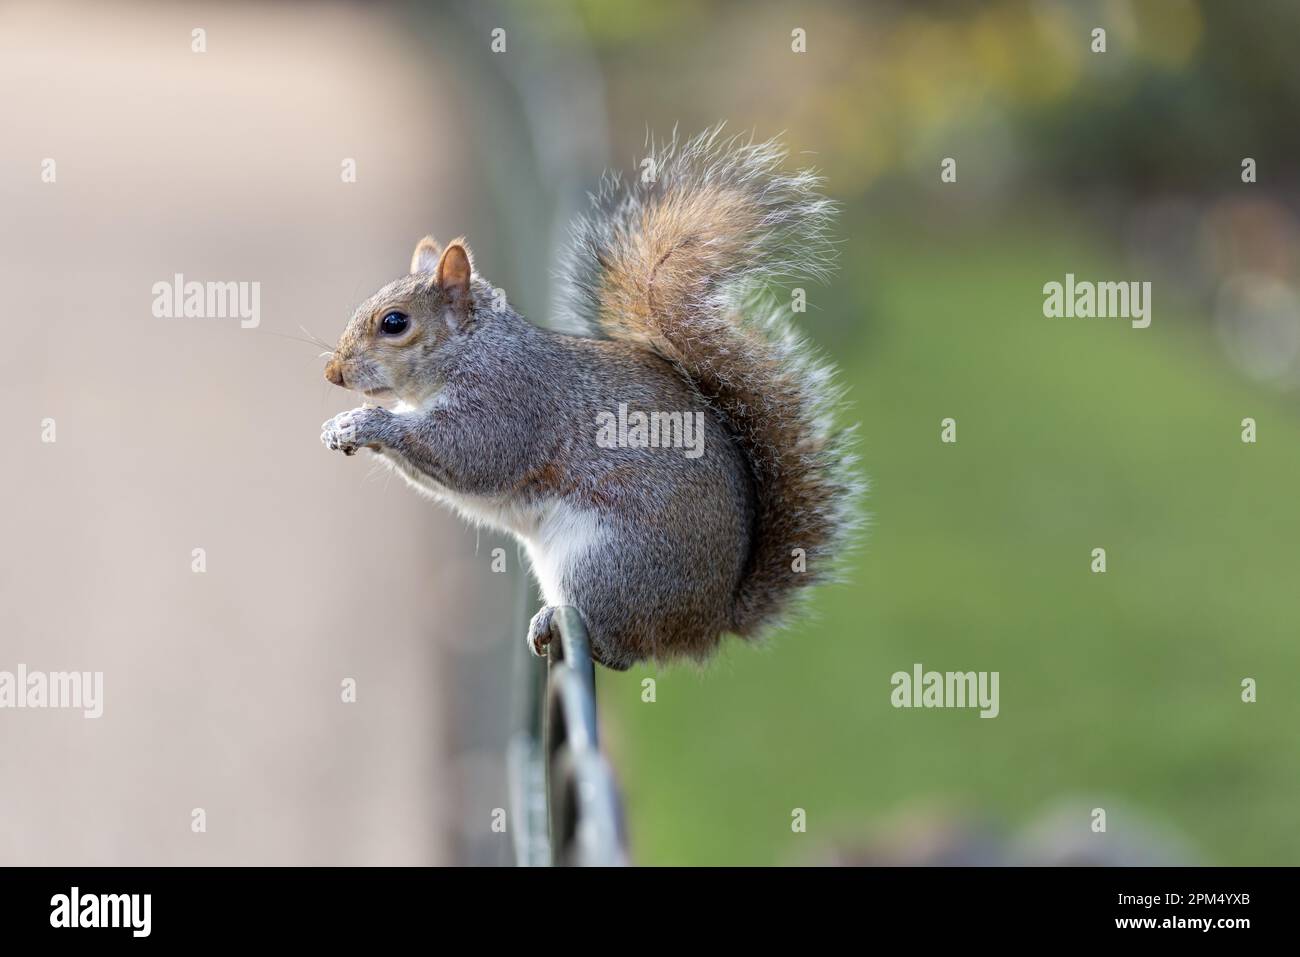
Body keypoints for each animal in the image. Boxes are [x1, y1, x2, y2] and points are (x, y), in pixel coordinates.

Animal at [319, 128, 857, 670]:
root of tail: (709, 622)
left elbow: (471, 454)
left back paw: (563, 626)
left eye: (394, 322)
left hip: (606, 565)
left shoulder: (509, 398)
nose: (332, 373)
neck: (474, 347)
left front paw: (370, 424)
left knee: (623, 651)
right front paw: (341, 425)